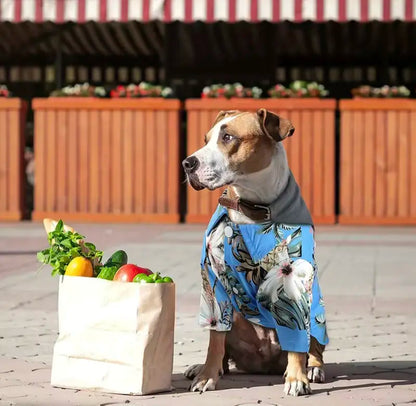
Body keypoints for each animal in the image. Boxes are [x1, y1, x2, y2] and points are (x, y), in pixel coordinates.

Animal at [182, 108, 328, 396]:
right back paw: (208, 367)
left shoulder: (296, 279)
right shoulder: (214, 283)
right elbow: (215, 339)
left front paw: (297, 378)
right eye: (206, 139)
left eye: (228, 137)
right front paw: (206, 375)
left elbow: (297, 337)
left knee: (314, 345)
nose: (187, 163)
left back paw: (313, 368)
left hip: (318, 312)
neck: (252, 207)